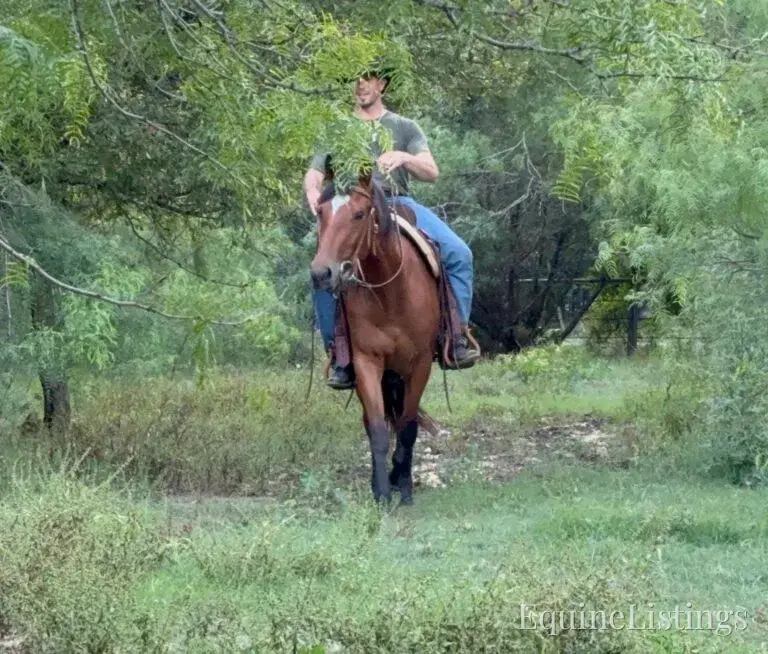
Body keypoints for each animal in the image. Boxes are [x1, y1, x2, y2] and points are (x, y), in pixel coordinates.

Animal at [309, 173, 441, 506]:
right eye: (321, 213)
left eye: (358, 214)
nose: (321, 274)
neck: (390, 294)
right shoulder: (366, 362)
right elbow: (379, 429)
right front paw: (381, 493)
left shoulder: (420, 364)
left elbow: (407, 427)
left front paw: (404, 487)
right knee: (371, 423)